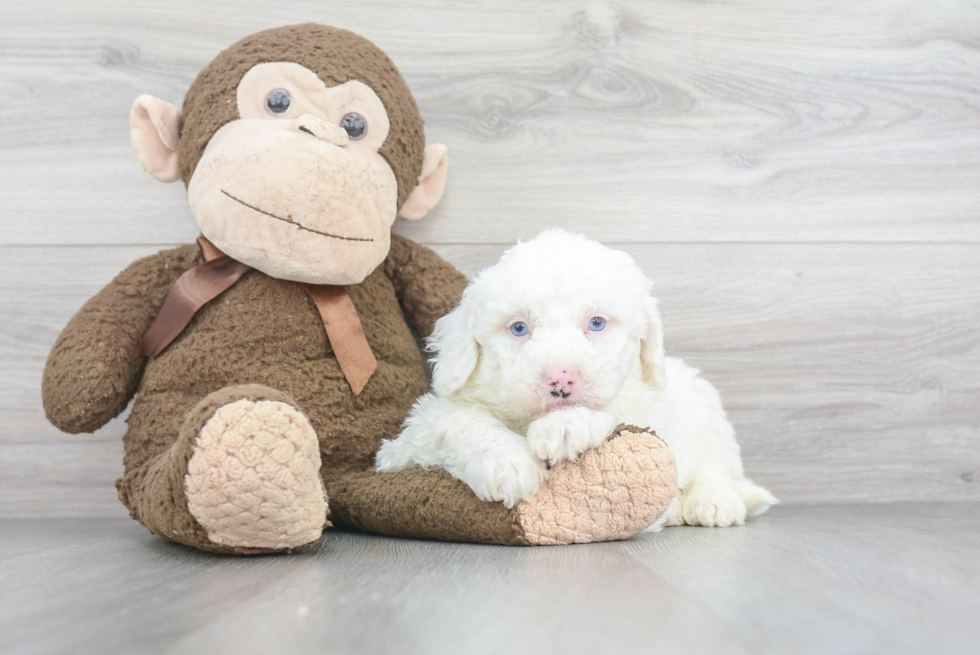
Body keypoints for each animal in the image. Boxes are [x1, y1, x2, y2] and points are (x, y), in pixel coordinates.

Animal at [378, 229, 776, 528]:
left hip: (709, 413)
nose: (561, 379)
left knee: (716, 468)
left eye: (596, 323)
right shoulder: (408, 440)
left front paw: (565, 427)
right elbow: (457, 419)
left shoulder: (649, 413)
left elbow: (614, 415)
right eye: (519, 328)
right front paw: (507, 463)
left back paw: (711, 503)